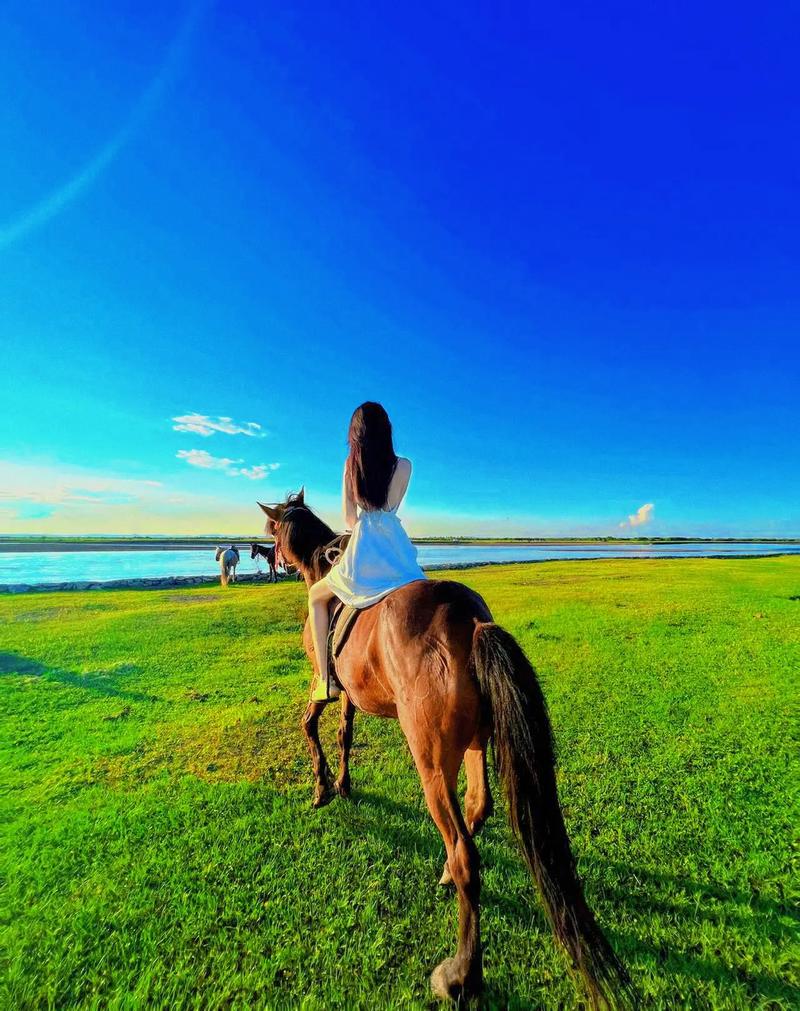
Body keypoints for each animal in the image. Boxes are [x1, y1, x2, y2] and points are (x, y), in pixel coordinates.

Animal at [258, 487, 635, 1002]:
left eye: (271, 528)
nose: (270, 559)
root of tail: (471, 622)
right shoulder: (350, 694)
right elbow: (344, 734)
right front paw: (343, 783)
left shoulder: (324, 681)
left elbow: (310, 727)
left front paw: (321, 787)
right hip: (476, 744)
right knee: (478, 807)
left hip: (433, 766)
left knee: (465, 857)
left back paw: (461, 974)